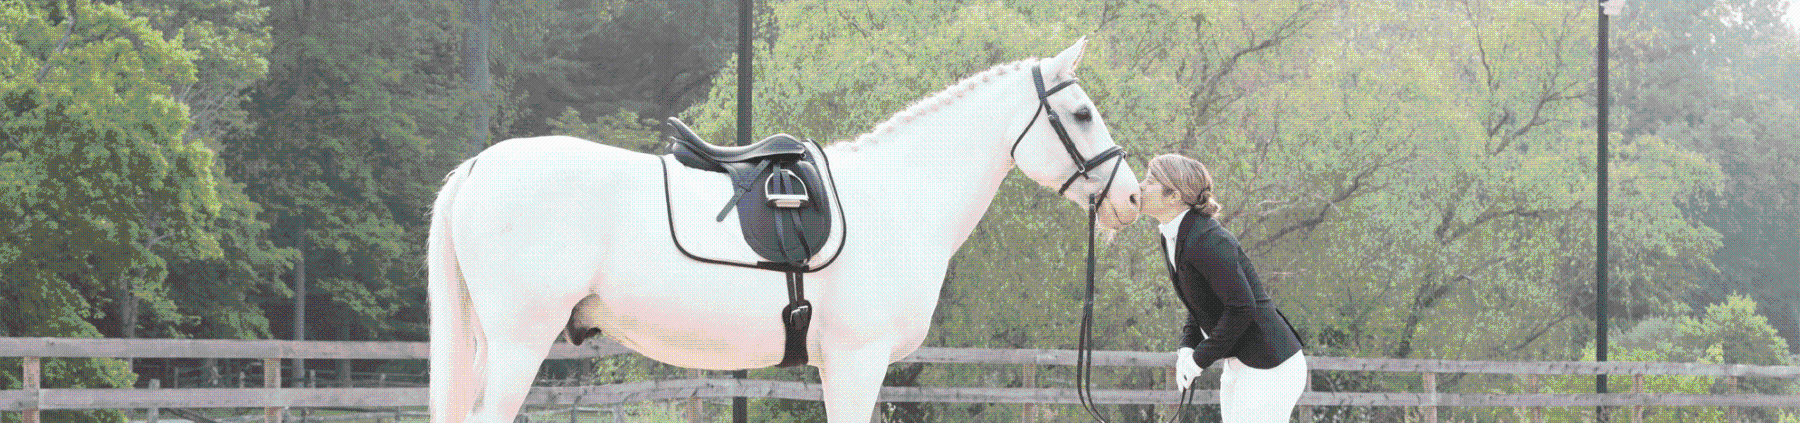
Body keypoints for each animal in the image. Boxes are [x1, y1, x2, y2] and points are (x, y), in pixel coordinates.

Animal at [428, 38, 1142, 423]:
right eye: (1082, 114)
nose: (1132, 198)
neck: (903, 196)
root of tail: (478, 166)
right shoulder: (858, 359)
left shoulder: (843, 364)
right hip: (520, 342)